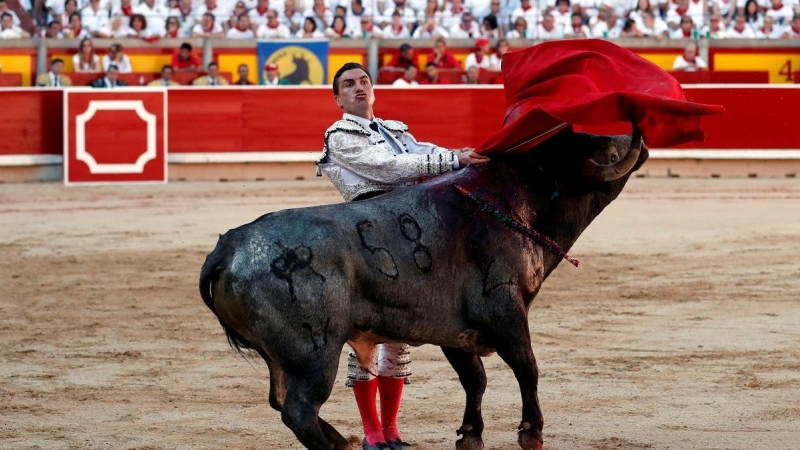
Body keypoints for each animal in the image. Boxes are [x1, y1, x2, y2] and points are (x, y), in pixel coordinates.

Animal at [200, 126, 648, 450]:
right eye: (607, 152)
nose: (638, 142)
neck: (513, 200)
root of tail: (229, 246)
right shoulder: (504, 308)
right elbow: (527, 367)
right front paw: (531, 432)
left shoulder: (455, 331)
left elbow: (475, 379)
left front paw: (470, 435)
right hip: (314, 353)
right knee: (298, 409)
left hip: (281, 356)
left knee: (281, 400)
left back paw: (344, 439)